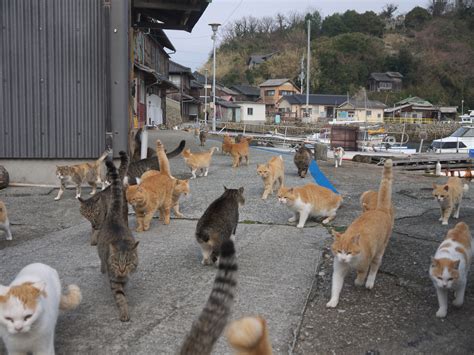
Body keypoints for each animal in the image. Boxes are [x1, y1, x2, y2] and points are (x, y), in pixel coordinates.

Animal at [96, 160, 138, 322]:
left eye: (127, 263)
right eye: (116, 263)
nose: (121, 270)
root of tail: (114, 216)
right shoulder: (114, 280)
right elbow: (120, 297)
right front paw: (124, 312)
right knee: (101, 259)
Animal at [326, 159, 392, 308]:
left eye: (349, 252)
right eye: (339, 251)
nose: (343, 259)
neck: (350, 263)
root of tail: (379, 210)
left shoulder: (364, 265)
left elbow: (361, 275)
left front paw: (359, 282)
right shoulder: (338, 269)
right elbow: (336, 286)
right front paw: (333, 301)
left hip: (380, 250)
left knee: (375, 267)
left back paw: (369, 283)